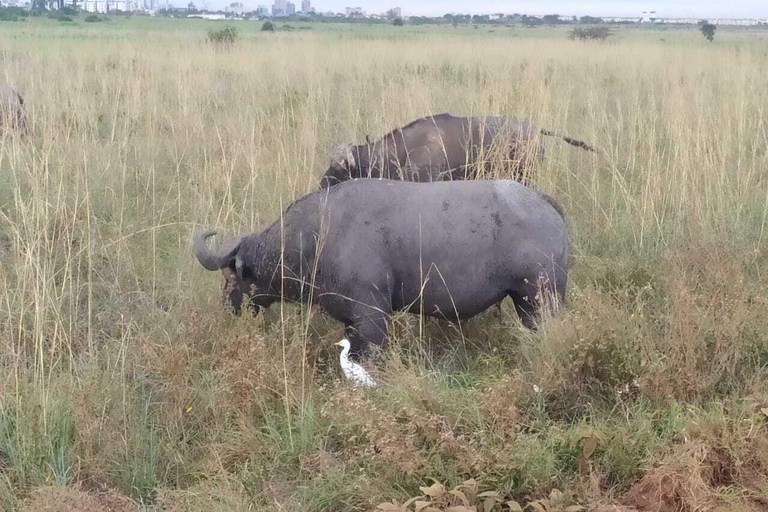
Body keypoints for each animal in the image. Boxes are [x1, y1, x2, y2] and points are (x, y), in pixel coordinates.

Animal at [195, 178, 568, 358]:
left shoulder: (371, 318)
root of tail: (543, 202)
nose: (227, 307)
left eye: (231, 278)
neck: (319, 234)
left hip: (538, 300)